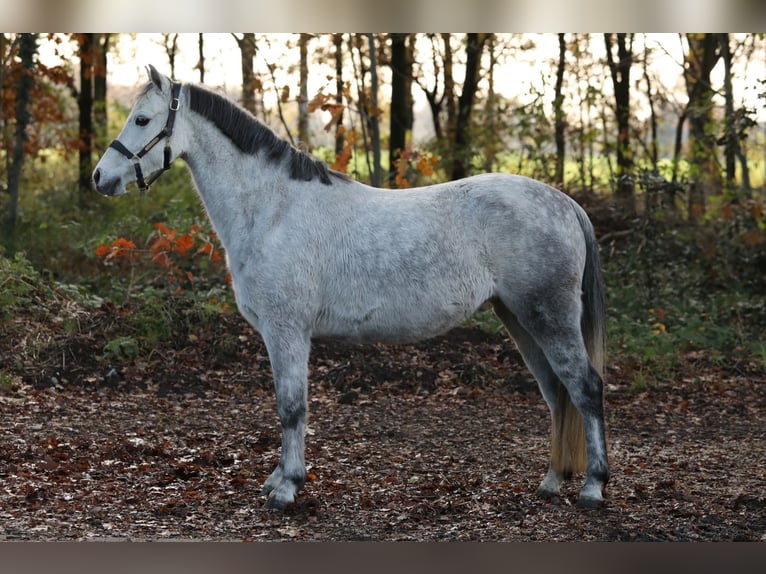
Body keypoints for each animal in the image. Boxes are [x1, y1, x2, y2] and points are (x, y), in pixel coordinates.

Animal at [93, 65, 612, 510]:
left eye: (142, 119)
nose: (101, 177)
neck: (272, 208)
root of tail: (566, 203)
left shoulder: (287, 330)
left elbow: (291, 407)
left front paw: (288, 488)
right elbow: (286, 407)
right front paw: (278, 479)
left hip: (548, 316)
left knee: (585, 388)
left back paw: (592, 486)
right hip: (519, 317)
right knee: (557, 392)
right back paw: (551, 481)